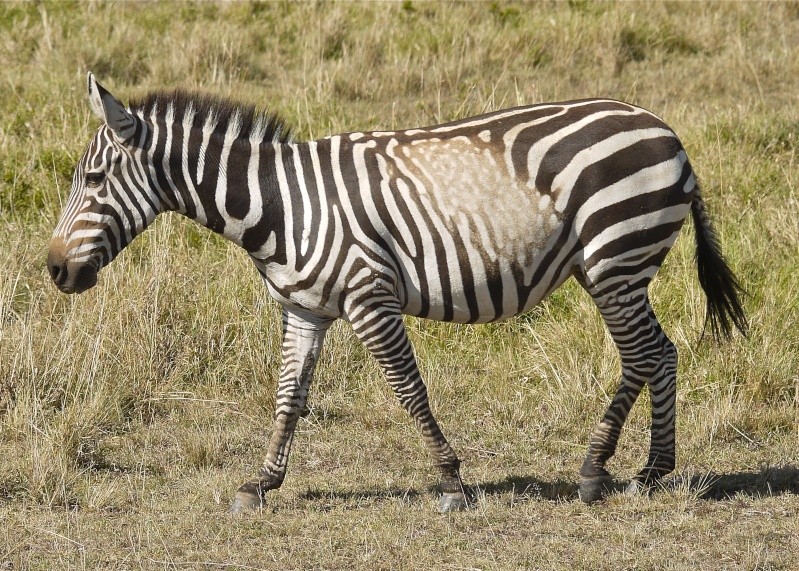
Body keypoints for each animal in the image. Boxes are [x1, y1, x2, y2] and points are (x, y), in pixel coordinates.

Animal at [48, 73, 752, 516]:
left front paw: (449, 480)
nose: (54, 270)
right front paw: (261, 484)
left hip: (617, 255)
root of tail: (666, 132)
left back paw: (609, 471)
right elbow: (288, 397)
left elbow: (409, 389)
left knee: (645, 354)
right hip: (611, 264)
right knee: (659, 353)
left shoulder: (369, 297)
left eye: (94, 179)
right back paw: (641, 470)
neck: (281, 206)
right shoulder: (306, 307)